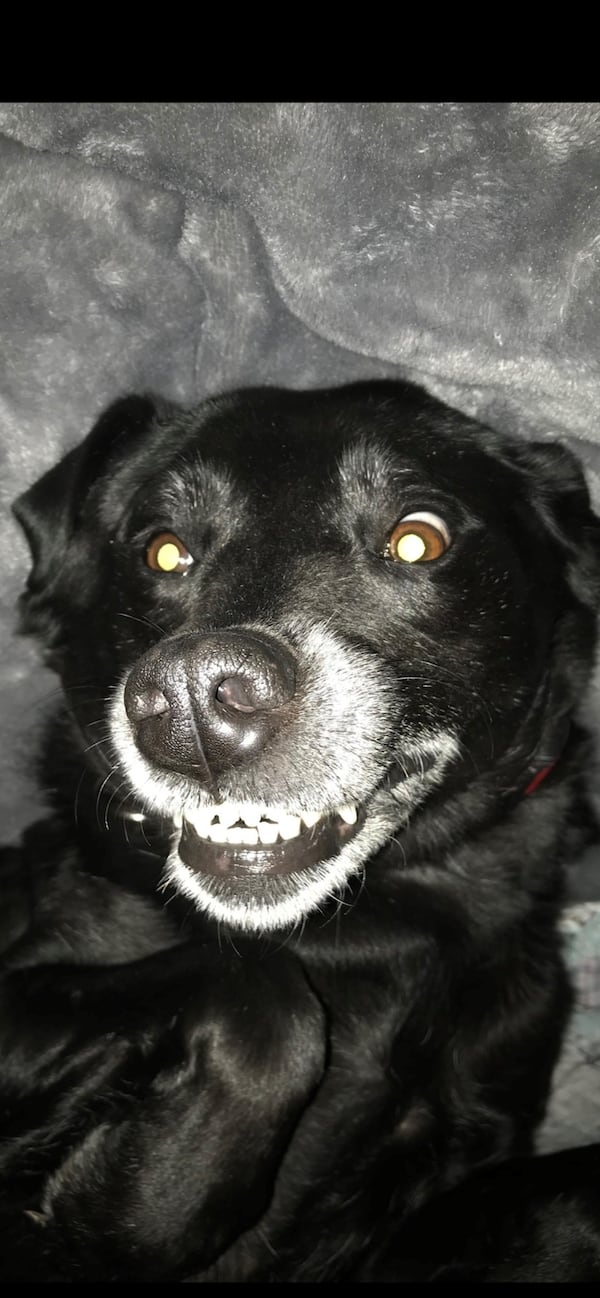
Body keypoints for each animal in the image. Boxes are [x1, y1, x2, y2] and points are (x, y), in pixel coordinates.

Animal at [1, 379, 600, 1282]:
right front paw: (135, 1210)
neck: (375, 925)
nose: (193, 701)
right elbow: (266, 1000)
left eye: (418, 538)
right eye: (162, 552)